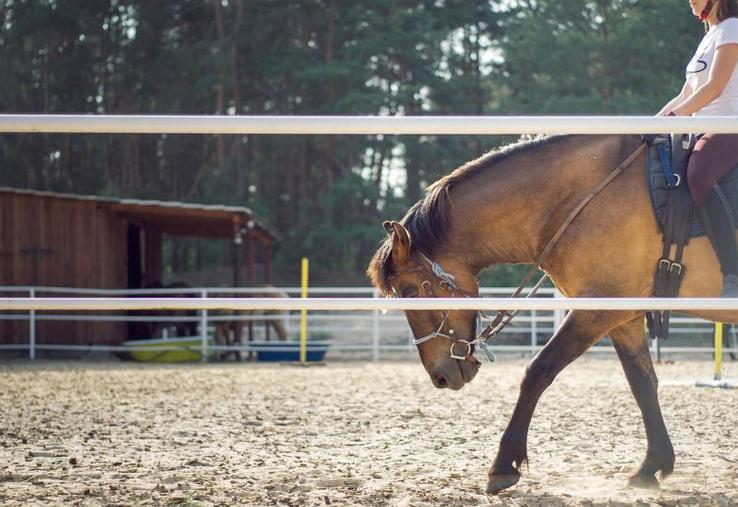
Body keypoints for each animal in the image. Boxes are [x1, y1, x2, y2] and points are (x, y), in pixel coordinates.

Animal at [367, 134, 737, 494]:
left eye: (411, 293)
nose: (440, 376)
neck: (584, 197)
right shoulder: (622, 317)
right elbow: (642, 383)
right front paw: (652, 466)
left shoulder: (596, 311)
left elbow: (538, 371)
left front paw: (502, 466)